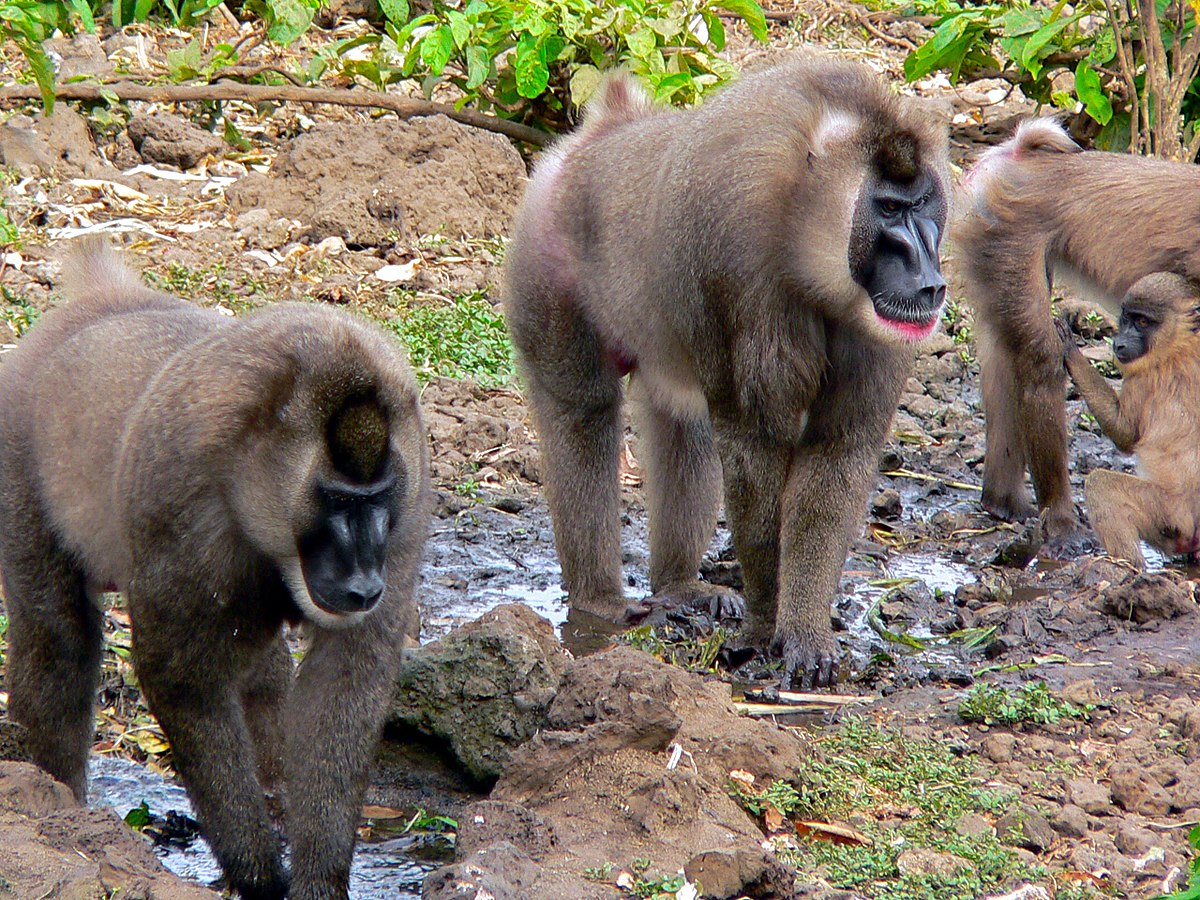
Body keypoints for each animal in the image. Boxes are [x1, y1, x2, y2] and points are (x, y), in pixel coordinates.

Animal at [0, 241, 432, 900]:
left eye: (376, 498)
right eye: (335, 500)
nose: (363, 583)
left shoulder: (407, 506)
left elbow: (345, 679)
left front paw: (319, 878)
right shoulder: (180, 497)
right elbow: (182, 676)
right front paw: (257, 874)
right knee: (58, 639)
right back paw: (60, 803)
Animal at [501, 58, 950, 691]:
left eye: (921, 204)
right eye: (888, 208)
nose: (928, 277)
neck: (800, 227)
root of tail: (600, 134)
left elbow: (837, 453)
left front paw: (806, 631)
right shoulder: (737, 271)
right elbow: (752, 451)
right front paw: (764, 627)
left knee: (682, 427)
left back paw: (680, 586)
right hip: (546, 274)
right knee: (581, 415)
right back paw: (598, 600)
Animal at [1056, 271, 1200, 566]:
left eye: (1142, 322)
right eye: (1127, 317)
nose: (1119, 342)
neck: (1180, 343)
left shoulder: (1142, 377)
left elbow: (1126, 436)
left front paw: (1072, 353)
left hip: (1170, 514)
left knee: (1099, 484)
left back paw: (1127, 567)